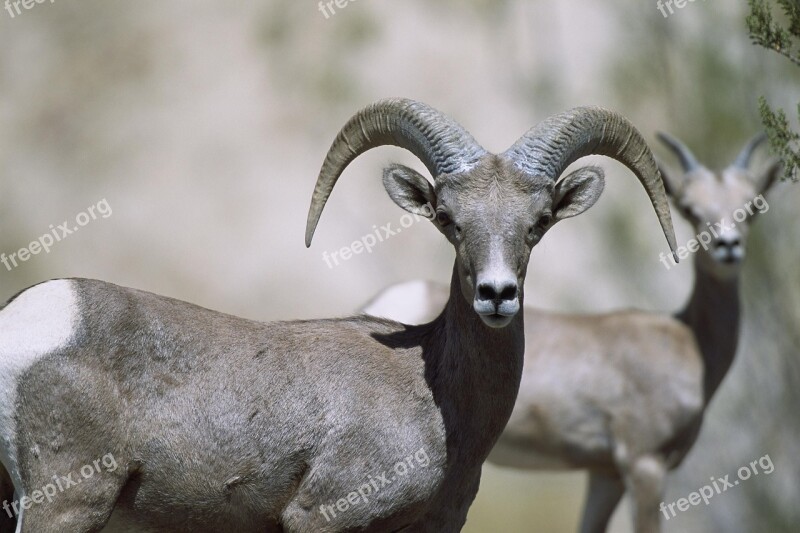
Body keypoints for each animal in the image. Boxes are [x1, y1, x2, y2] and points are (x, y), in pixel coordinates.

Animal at [0, 97, 676, 528]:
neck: (437, 400)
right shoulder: (320, 518)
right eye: (449, 219)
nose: (497, 294)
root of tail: (25, 324)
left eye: (537, 223)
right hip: (67, 505)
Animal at [364, 133, 780, 532]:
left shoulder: (604, 475)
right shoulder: (644, 465)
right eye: (691, 209)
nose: (728, 247)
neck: (686, 338)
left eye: (753, 206)